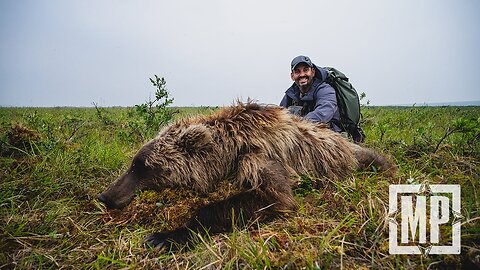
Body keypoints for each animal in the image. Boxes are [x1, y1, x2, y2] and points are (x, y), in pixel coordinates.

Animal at [98, 102, 398, 250]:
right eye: (134, 163)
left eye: (143, 166)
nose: (105, 196)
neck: (230, 147)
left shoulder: (257, 157)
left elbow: (277, 196)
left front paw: (164, 237)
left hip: (355, 157)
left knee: (375, 160)